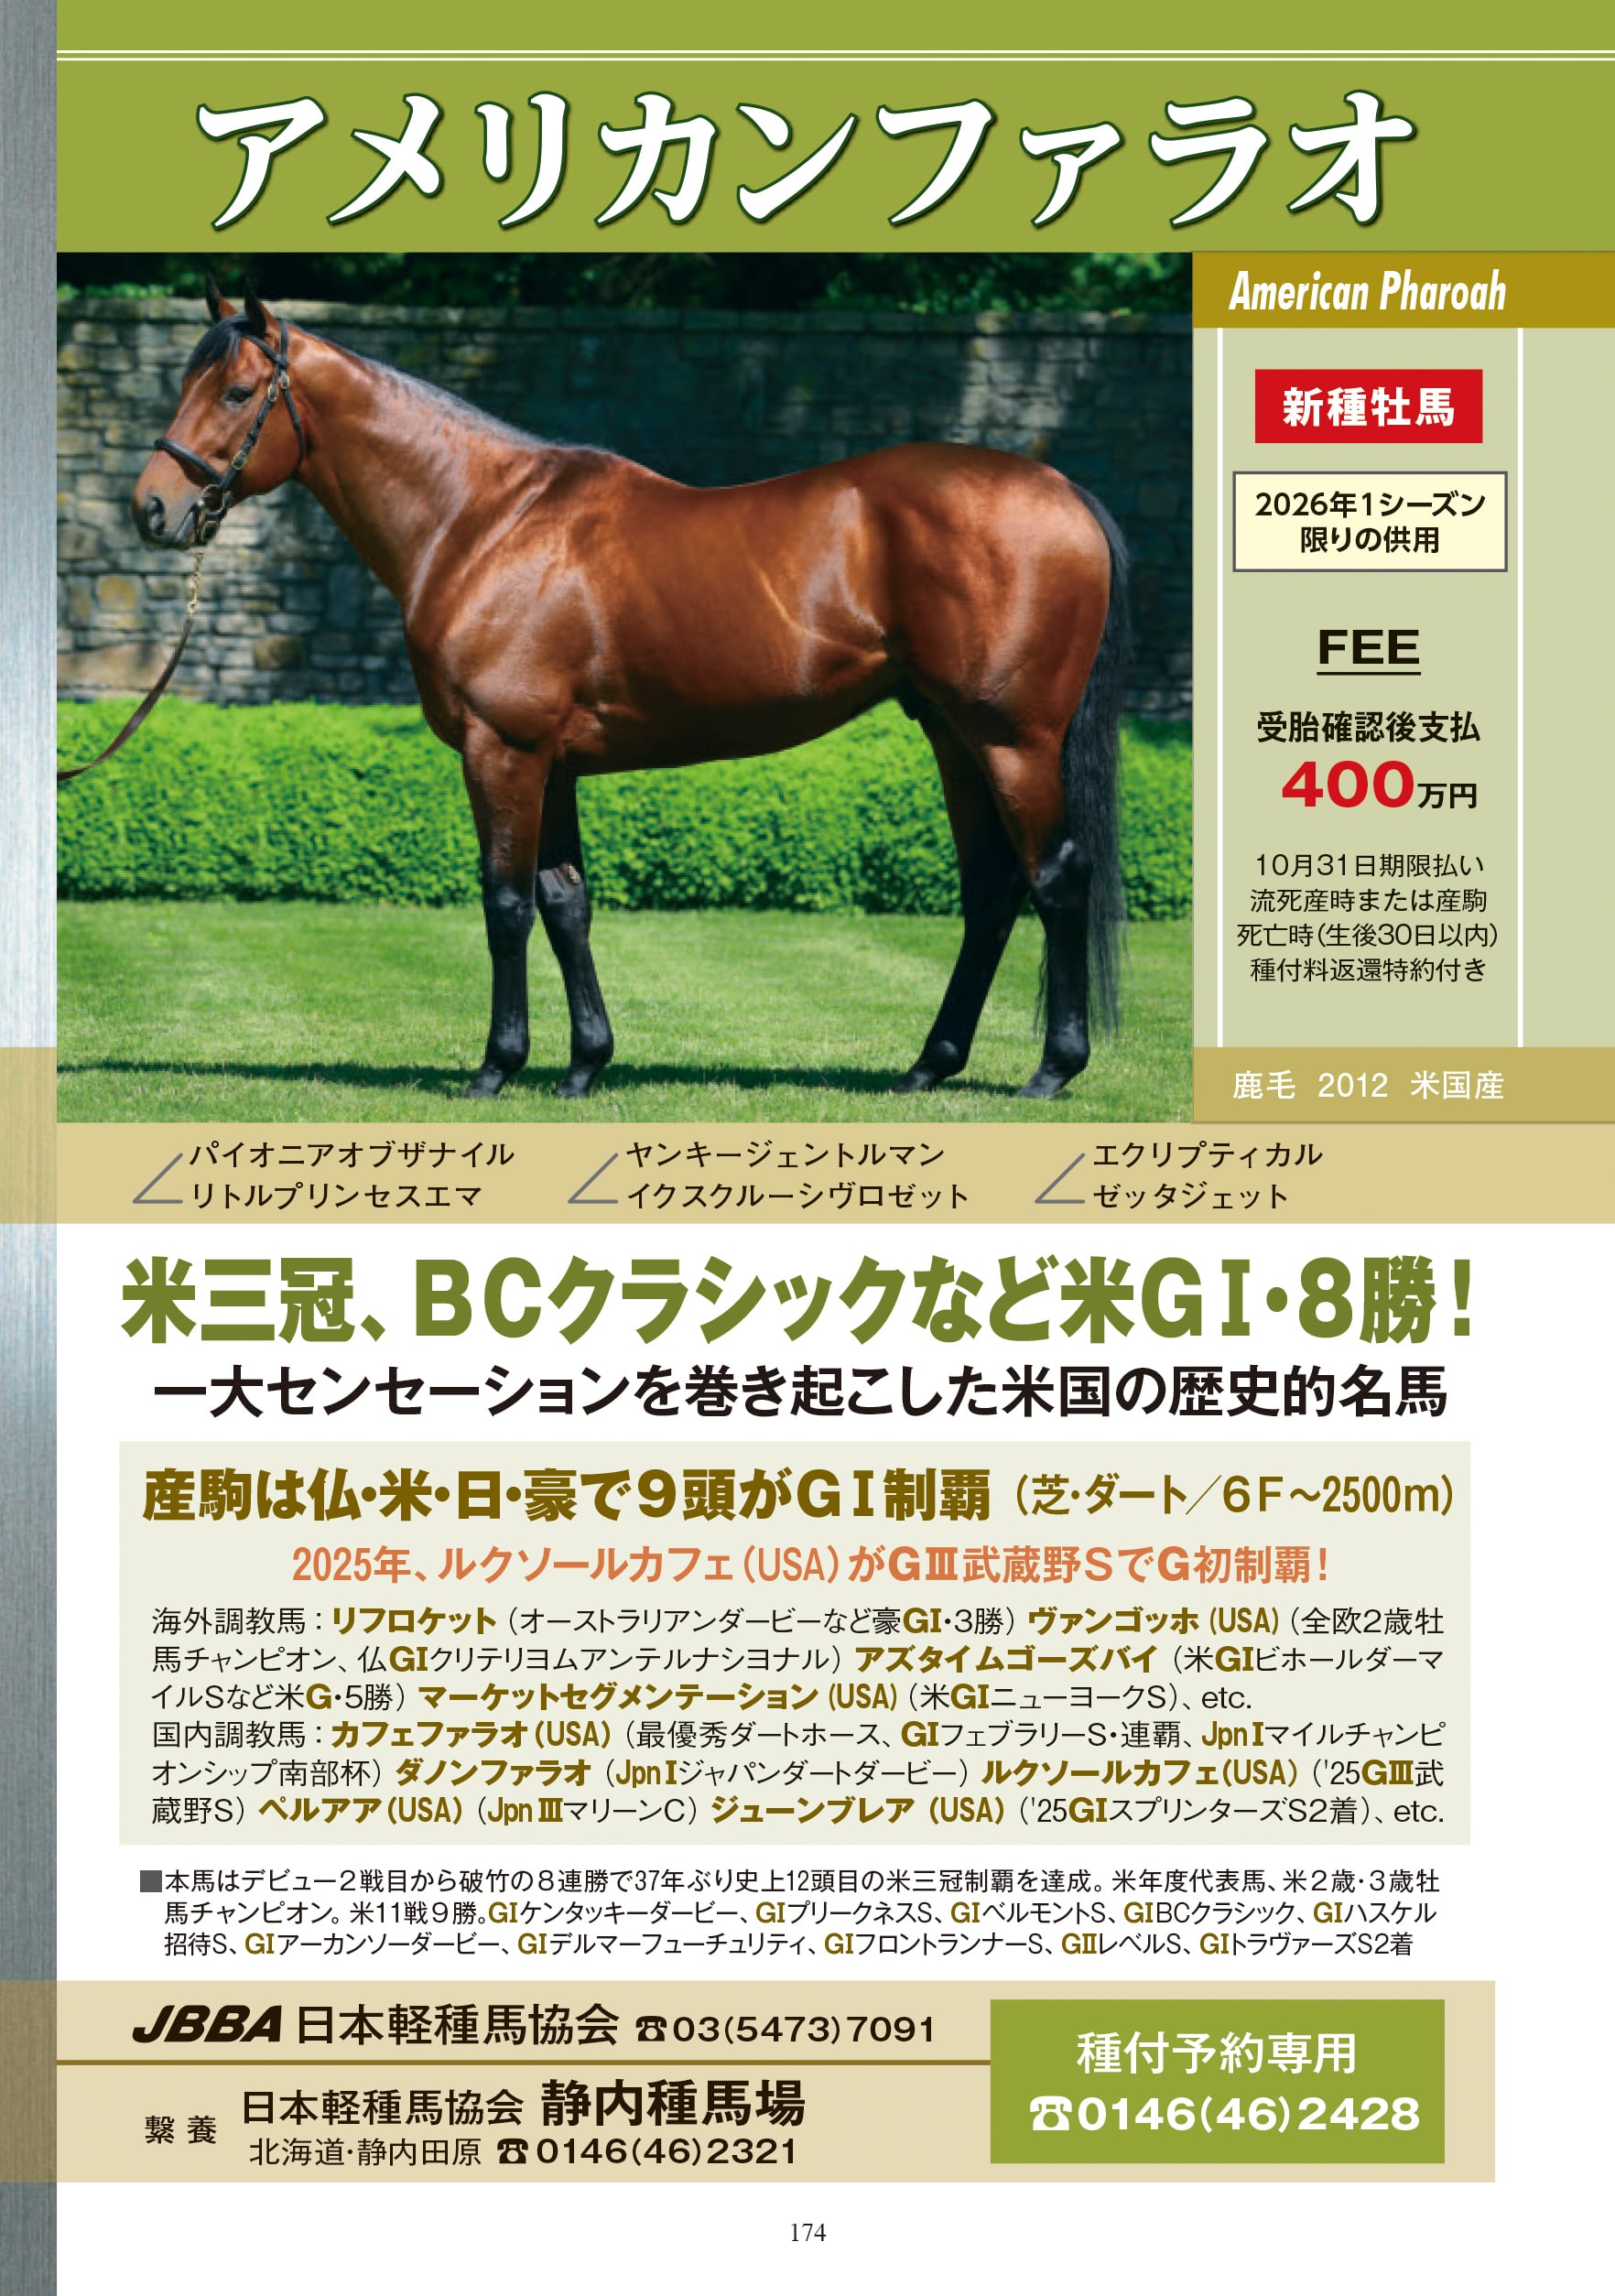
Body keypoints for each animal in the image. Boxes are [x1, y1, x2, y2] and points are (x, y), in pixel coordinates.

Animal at [130, 284, 1130, 1102]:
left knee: (1054, 876)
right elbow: (566, 903)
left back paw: (1053, 1068)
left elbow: (505, 904)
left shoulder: (503, 752)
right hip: (952, 735)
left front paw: (497, 1066)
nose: (151, 508)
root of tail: (1065, 493)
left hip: (1011, 740)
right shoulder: (554, 763)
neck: (483, 521)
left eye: (235, 393)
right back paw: (930, 1064)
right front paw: (584, 1064)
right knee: (992, 890)